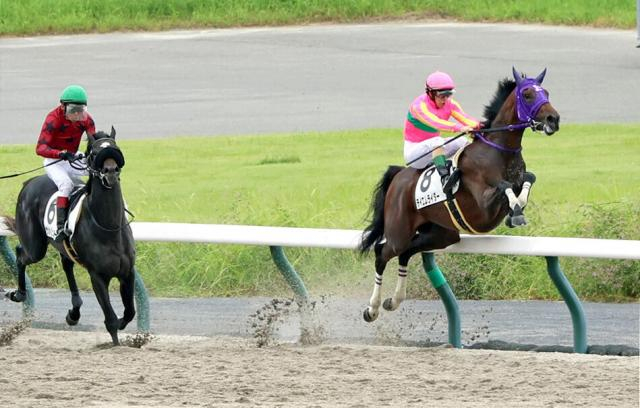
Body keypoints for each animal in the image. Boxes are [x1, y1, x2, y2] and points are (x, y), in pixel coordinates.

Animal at [4, 127, 136, 344]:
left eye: (115, 149)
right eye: (94, 153)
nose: (110, 171)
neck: (109, 228)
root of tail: (29, 181)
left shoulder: (127, 272)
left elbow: (130, 312)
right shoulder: (97, 276)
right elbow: (110, 320)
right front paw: (116, 343)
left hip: (63, 247)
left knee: (66, 265)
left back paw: (74, 312)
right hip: (35, 247)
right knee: (21, 254)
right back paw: (20, 294)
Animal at [360, 67, 560, 322]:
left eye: (546, 92)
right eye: (527, 94)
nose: (553, 119)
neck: (498, 151)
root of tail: (398, 176)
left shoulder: (517, 180)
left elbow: (528, 178)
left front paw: (517, 210)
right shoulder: (484, 204)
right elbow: (503, 186)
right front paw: (516, 212)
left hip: (441, 234)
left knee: (405, 253)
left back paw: (393, 301)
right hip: (399, 231)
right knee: (382, 253)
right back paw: (372, 308)